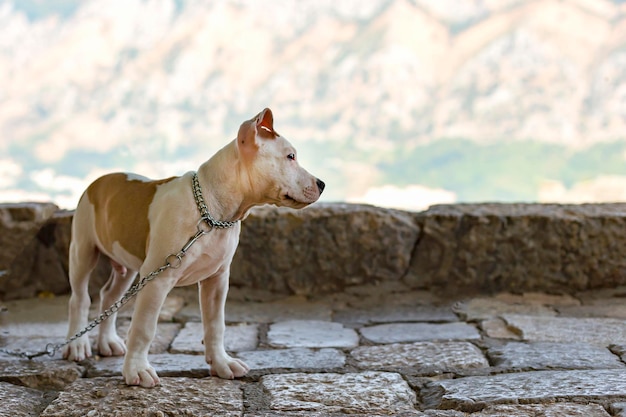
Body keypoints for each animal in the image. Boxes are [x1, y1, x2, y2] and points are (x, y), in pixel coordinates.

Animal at [64, 108, 326, 386]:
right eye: (290, 156)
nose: (322, 184)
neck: (212, 210)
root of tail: (100, 179)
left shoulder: (217, 279)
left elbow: (215, 325)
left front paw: (222, 364)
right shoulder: (158, 280)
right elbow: (144, 327)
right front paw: (137, 370)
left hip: (129, 267)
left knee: (109, 296)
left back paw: (108, 343)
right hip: (83, 251)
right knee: (80, 298)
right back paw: (77, 345)